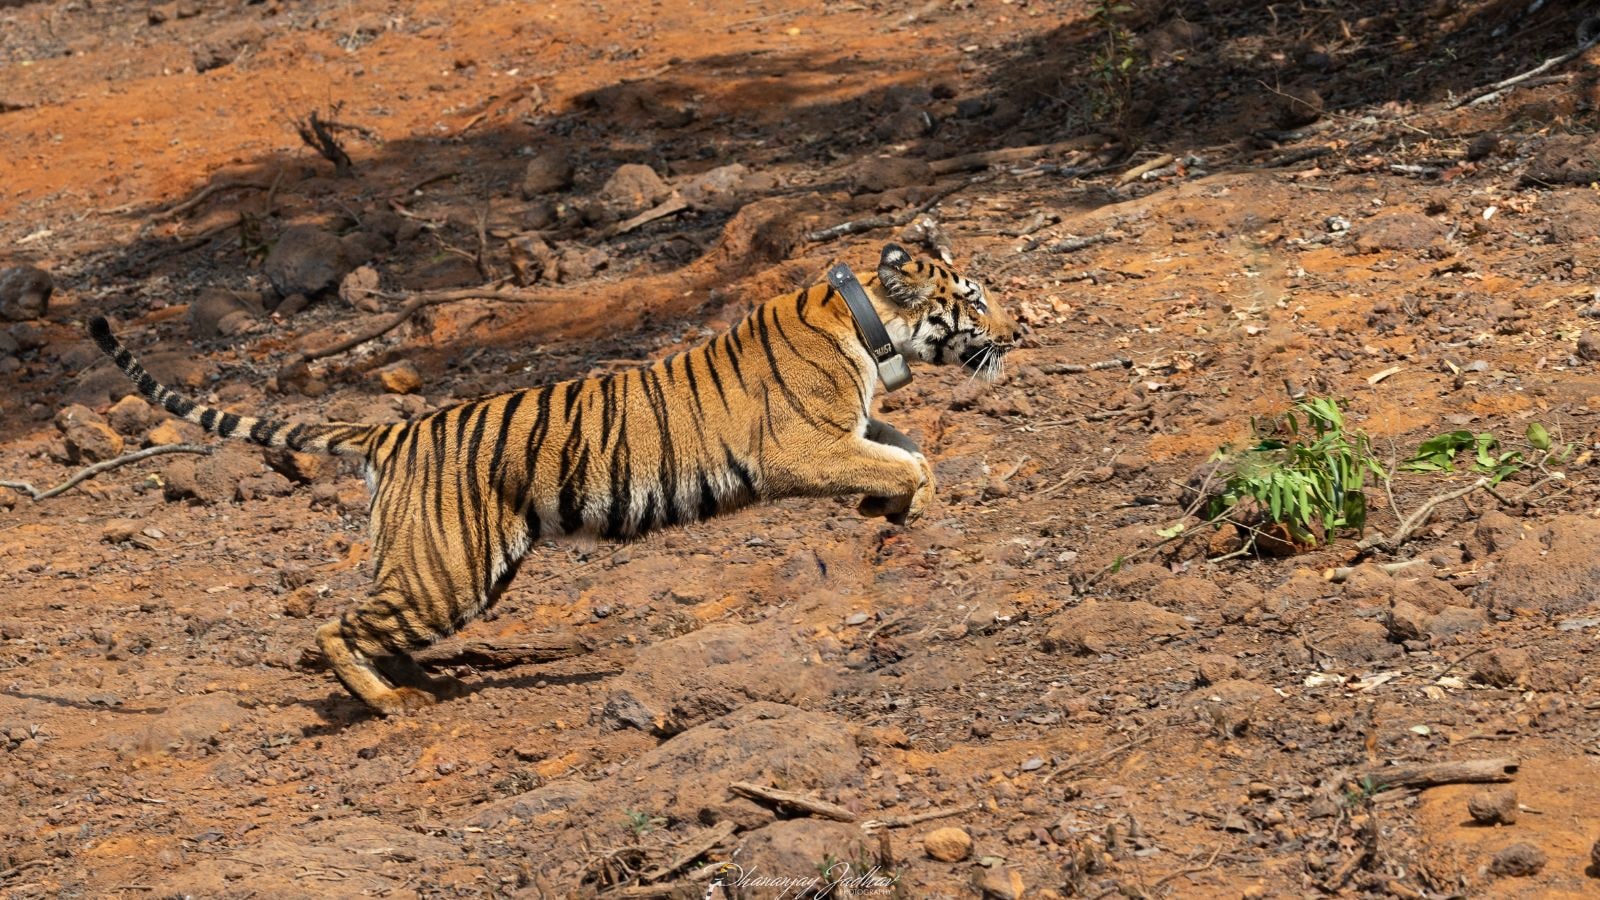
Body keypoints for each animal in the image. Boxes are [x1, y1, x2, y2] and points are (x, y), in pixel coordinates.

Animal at [89, 243, 1017, 716]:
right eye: (974, 297)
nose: (1021, 326)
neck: (870, 327)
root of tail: (392, 428)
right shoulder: (801, 448)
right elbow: (906, 455)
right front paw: (896, 503)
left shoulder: (851, 428)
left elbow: (910, 447)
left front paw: (890, 503)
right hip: (449, 569)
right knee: (335, 625)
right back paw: (390, 704)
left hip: (454, 567)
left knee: (375, 619)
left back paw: (420, 681)